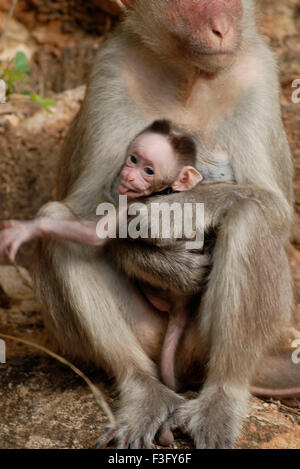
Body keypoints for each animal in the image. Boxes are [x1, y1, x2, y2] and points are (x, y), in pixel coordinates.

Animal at [34, 0, 296, 450]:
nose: (221, 28)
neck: (188, 76)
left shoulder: (257, 73)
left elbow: (276, 208)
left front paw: (166, 213)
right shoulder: (111, 68)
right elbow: (83, 204)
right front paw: (154, 258)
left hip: (216, 341)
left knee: (249, 216)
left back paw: (222, 395)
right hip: (146, 336)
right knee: (55, 223)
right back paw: (143, 388)